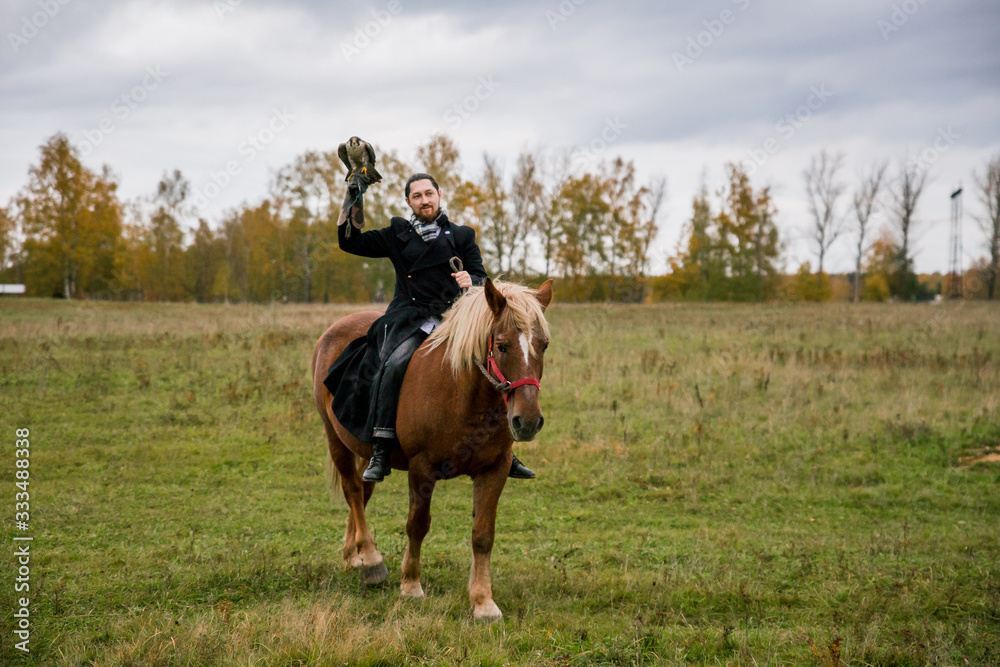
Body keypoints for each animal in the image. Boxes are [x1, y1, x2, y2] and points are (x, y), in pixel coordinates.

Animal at [308, 276, 552, 620]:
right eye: (502, 345)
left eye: (543, 345)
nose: (527, 421)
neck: (461, 393)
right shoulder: (421, 468)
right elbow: (417, 525)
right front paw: (411, 585)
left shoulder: (495, 469)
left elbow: (483, 534)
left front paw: (483, 601)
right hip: (335, 440)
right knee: (353, 492)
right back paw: (370, 559)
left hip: (365, 453)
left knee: (362, 491)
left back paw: (353, 555)